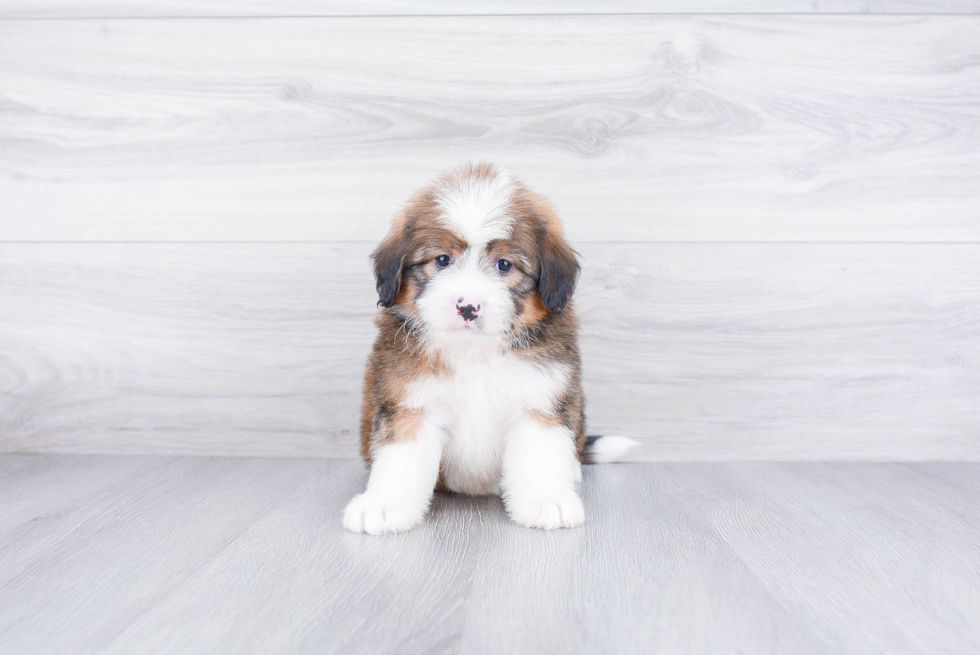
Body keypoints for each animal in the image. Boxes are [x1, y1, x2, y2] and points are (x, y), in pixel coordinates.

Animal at [344, 161, 636, 536]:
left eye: (504, 265)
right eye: (442, 260)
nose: (468, 307)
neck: (474, 353)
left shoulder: (539, 399)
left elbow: (541, 455)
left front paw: (547, 501)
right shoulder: (410, 404)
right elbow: (400, 459)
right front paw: (383, 506)